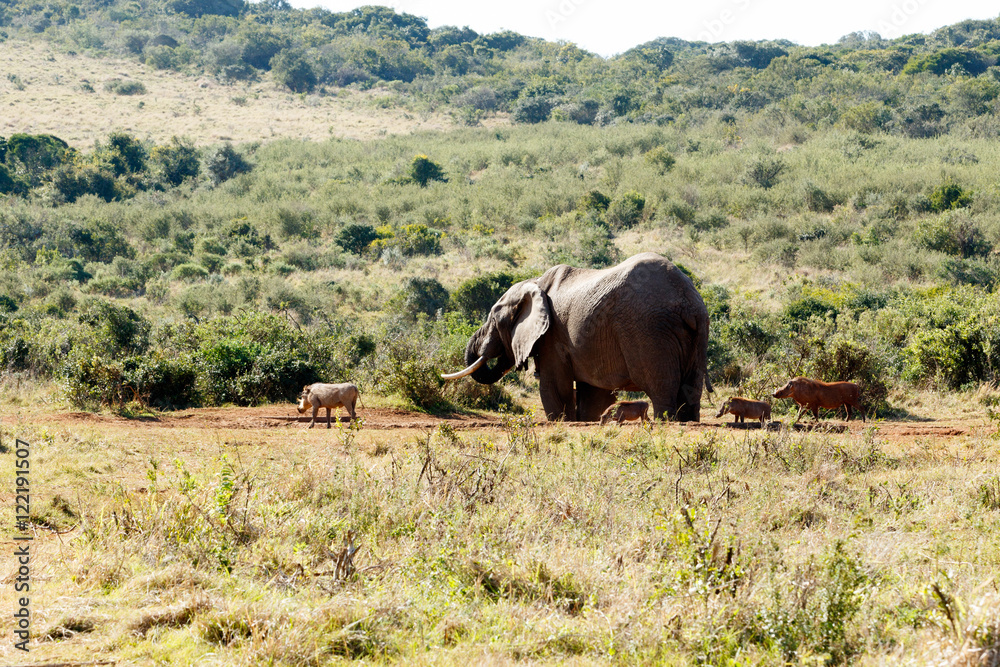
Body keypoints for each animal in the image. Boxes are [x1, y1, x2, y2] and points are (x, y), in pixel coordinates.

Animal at [442, 252, 713, 422]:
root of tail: (688, 301)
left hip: (649, 330)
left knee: (662, 390)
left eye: (493, 318)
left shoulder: (552, 336)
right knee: (690, 390)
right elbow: (594, 395)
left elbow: (554, 387)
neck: (535, 283)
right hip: (694, 333)